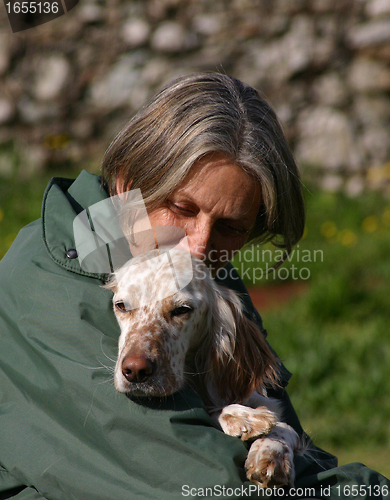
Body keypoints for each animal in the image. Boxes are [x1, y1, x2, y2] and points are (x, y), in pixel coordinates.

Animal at [105, 250, 304, 488]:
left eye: (182, 309)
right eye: (121, 306)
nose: (135, 371)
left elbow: (286, 429)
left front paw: (271, 453)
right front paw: (242, 417)